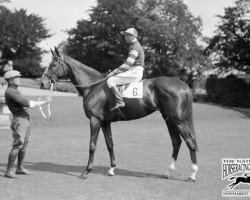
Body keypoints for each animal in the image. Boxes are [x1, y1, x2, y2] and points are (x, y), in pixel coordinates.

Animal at [40, 47, 198, 182]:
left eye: (54, 64)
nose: (42, 83)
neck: (94, 86)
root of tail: (183, 85)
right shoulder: (105, 122)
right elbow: (110, 144)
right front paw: (111, 169)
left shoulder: (95, 120)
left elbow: (92, 146)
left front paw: (86, 172)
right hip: (169, 120)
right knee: (176, 143)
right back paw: (168, 172)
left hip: (179, 121)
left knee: (190, 142)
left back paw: (192, 174)